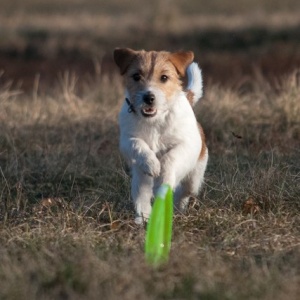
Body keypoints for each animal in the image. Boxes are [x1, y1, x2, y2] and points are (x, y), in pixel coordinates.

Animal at [113, 48, 207, 224]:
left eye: (164, 77)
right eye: (136, 76)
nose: (148, 97)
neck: (155, 120)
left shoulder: (187, 144)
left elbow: (170, 158)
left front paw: (163, 177)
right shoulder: (126, 140)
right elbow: (138, 145)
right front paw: (151, 163)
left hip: (194, 178)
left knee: (184, 192)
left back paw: (176, 207)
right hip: (140, 181)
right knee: (142, 199)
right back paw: (143, 219)